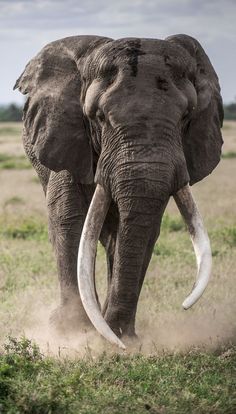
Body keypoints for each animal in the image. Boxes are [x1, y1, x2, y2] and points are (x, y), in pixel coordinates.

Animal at [14, 34, 223, 348]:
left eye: (186, 116)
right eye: (99, 117)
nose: (185, 306)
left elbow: (146, 229)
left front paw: (120, 337)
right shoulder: (66, 137)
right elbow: (68, 217)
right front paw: (73, 332)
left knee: (114, 236)